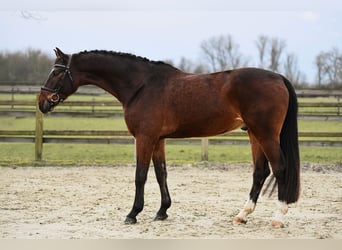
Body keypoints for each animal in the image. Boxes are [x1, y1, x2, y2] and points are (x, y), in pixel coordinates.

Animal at [38, 47, 300, 228]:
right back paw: (242, 215)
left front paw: (133, 214)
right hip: (254, 135)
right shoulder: (158, 139)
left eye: (56, 72)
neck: (141, 86)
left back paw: (278, 216)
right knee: (260, 172)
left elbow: (140, 176)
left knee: (280, 168)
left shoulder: (144, 138)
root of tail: (278, 77)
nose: (42, 102)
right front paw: (162, 212)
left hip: (266, 134)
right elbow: (160, 173)